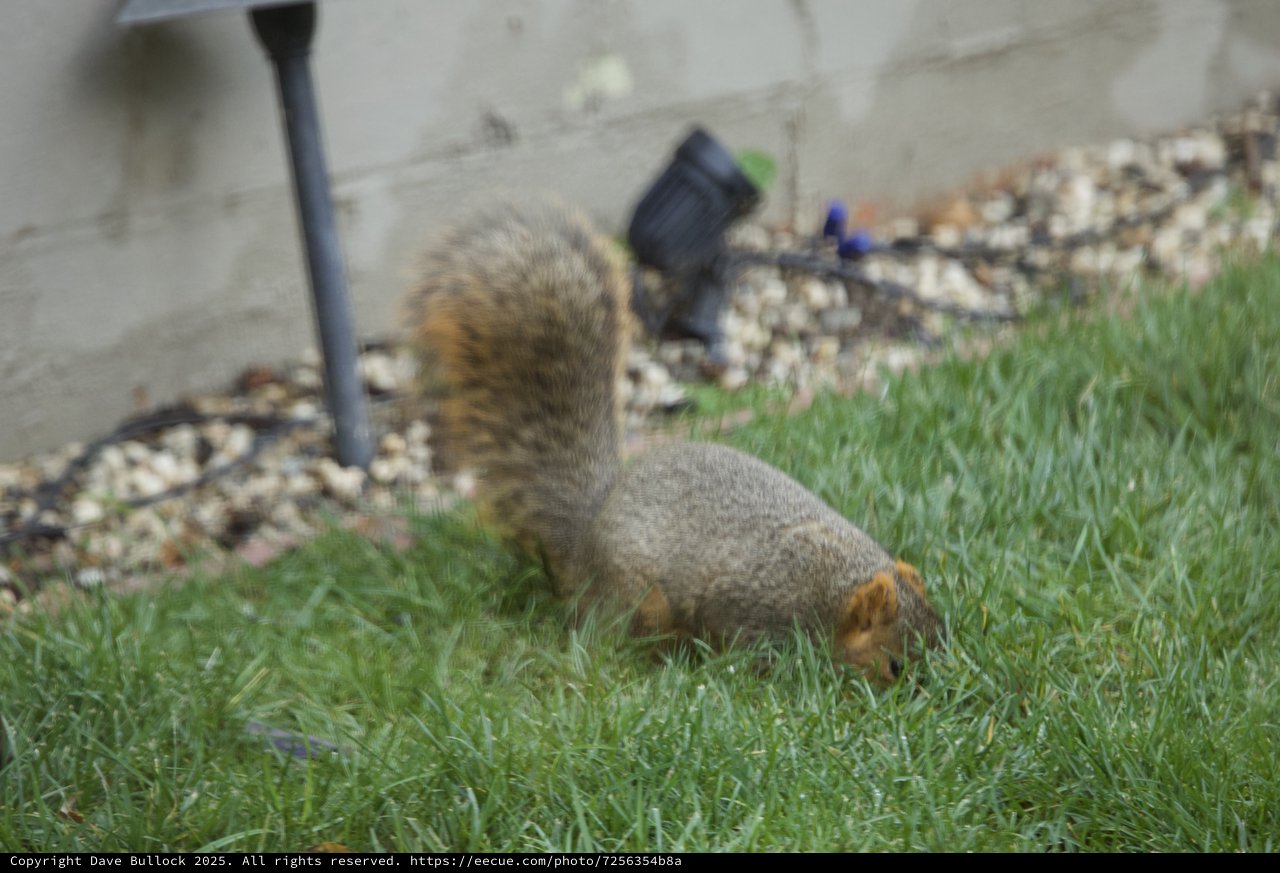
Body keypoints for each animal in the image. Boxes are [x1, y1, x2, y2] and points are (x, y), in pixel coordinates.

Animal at [406, 197, 943, 684]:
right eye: (894, 666)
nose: (922, 698)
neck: (834, 587)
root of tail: (585, 540)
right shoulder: (754, 602)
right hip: (641, 599)